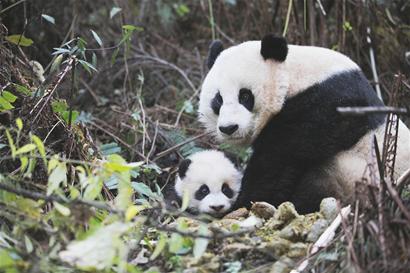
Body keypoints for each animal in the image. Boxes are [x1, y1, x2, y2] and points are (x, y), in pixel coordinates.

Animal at [199, 33, 410, 212]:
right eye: (218, 100)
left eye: (244, 95)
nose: (229, 128)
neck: (294, 75)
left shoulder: (330, 103)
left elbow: (282, 155)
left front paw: (243, 200)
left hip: (353, 177)